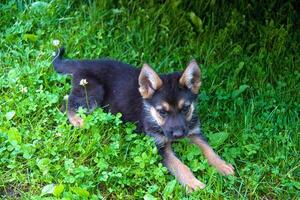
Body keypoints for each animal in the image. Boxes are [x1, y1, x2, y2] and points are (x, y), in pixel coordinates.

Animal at [53, 47, 234, 191]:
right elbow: (179, 165)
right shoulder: (160, 146)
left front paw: (222, 165)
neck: (152, 115)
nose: (178, 135)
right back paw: (78, 120)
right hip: (93, 91)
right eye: (162, 112)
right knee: (67, 103)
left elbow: (208, 149)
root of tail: (83, 63)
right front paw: (192, 183)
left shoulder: (194, 132)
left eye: (185, 108)